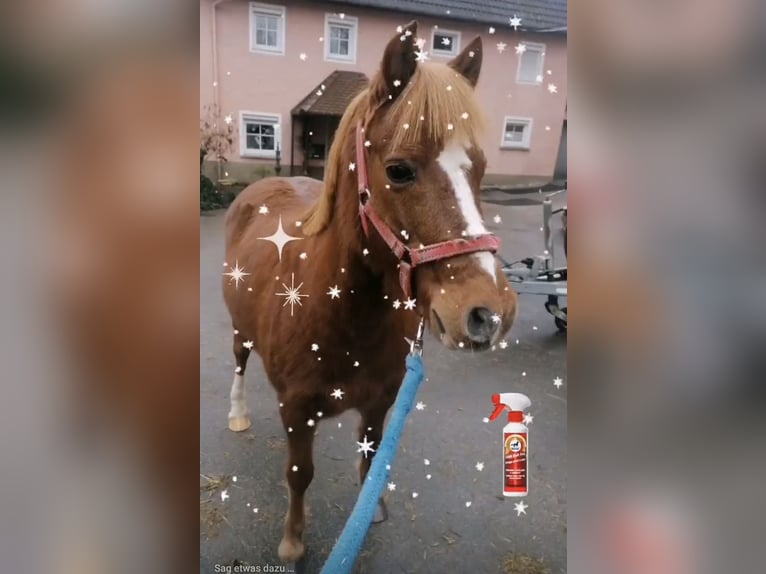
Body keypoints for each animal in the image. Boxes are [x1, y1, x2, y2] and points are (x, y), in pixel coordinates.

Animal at [225, 21, 520, 564]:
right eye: (400, 169)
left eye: (480, 167)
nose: (488, 313)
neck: (341, 315)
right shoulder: (297, 410)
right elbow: (299, 475)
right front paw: (293, 542)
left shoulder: (380, 404)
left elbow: (370, 461)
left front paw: (372, 509)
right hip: (239, 329)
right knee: (238, 361)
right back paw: (237, 414)